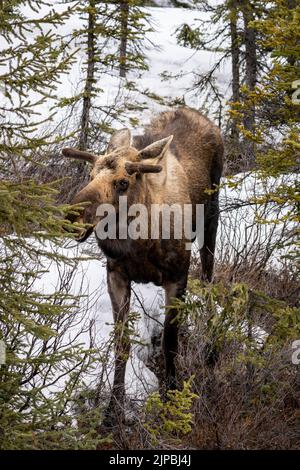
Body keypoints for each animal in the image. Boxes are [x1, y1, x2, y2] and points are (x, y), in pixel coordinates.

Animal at [63, 107, 223, 430]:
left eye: (123, 182)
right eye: (90, 175)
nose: (72, 216)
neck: (140, 242)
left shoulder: (177, 277)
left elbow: (170, 343)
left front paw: (171, 394)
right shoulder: (116, 275)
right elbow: (120, 345)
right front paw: (112, 410)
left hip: (211, 217)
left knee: (210, 277)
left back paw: (212, 347)